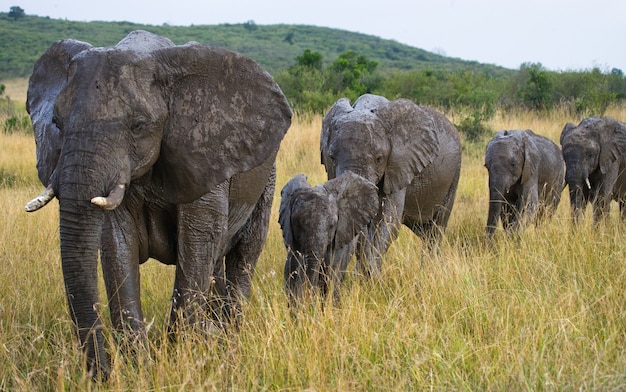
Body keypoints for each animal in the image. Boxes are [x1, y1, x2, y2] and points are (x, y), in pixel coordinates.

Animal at [22, 29, 290, 378]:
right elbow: (116, 244)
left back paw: (228, 341)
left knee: (244, 255)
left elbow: (198, 241)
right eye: (56, 122)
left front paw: (183, 358)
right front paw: (139, 365)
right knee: (217, 263)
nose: (101, 374)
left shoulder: (204, 153)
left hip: (267, 178)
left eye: (138, 125)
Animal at [322, 94, 458, 276]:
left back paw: (430, 271)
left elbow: (388, 221)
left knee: (436, 231)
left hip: (454, 177)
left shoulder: (400, 165)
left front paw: (373, 277)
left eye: (379, 159)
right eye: (331, 157)